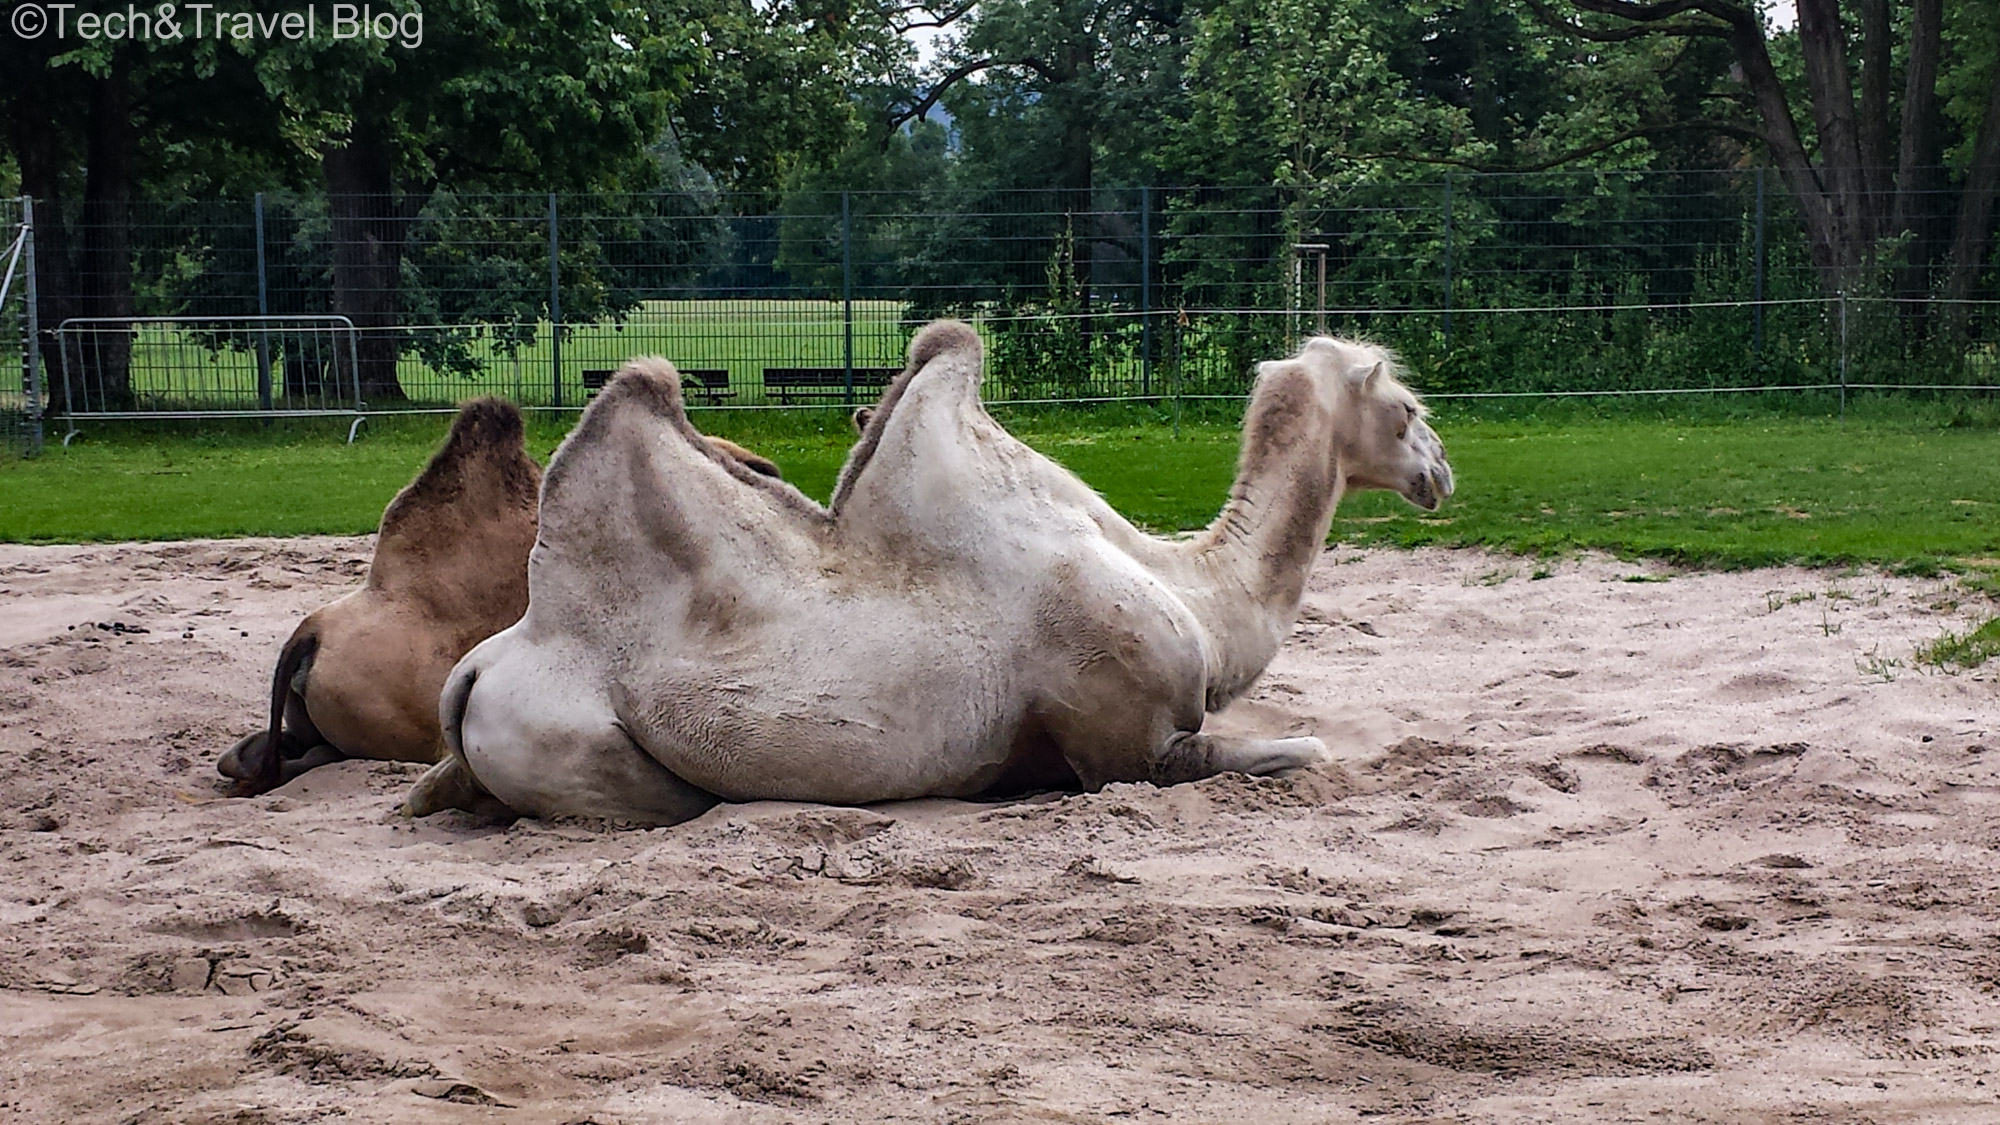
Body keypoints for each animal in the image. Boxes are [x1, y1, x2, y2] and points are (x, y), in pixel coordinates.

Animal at [404, 323, 1452, 824]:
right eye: (1406, 409)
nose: (1440, 474)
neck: (1194, 592)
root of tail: (482, 666)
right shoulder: (1133, 744)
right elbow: (1295, 751)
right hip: (570, 742)